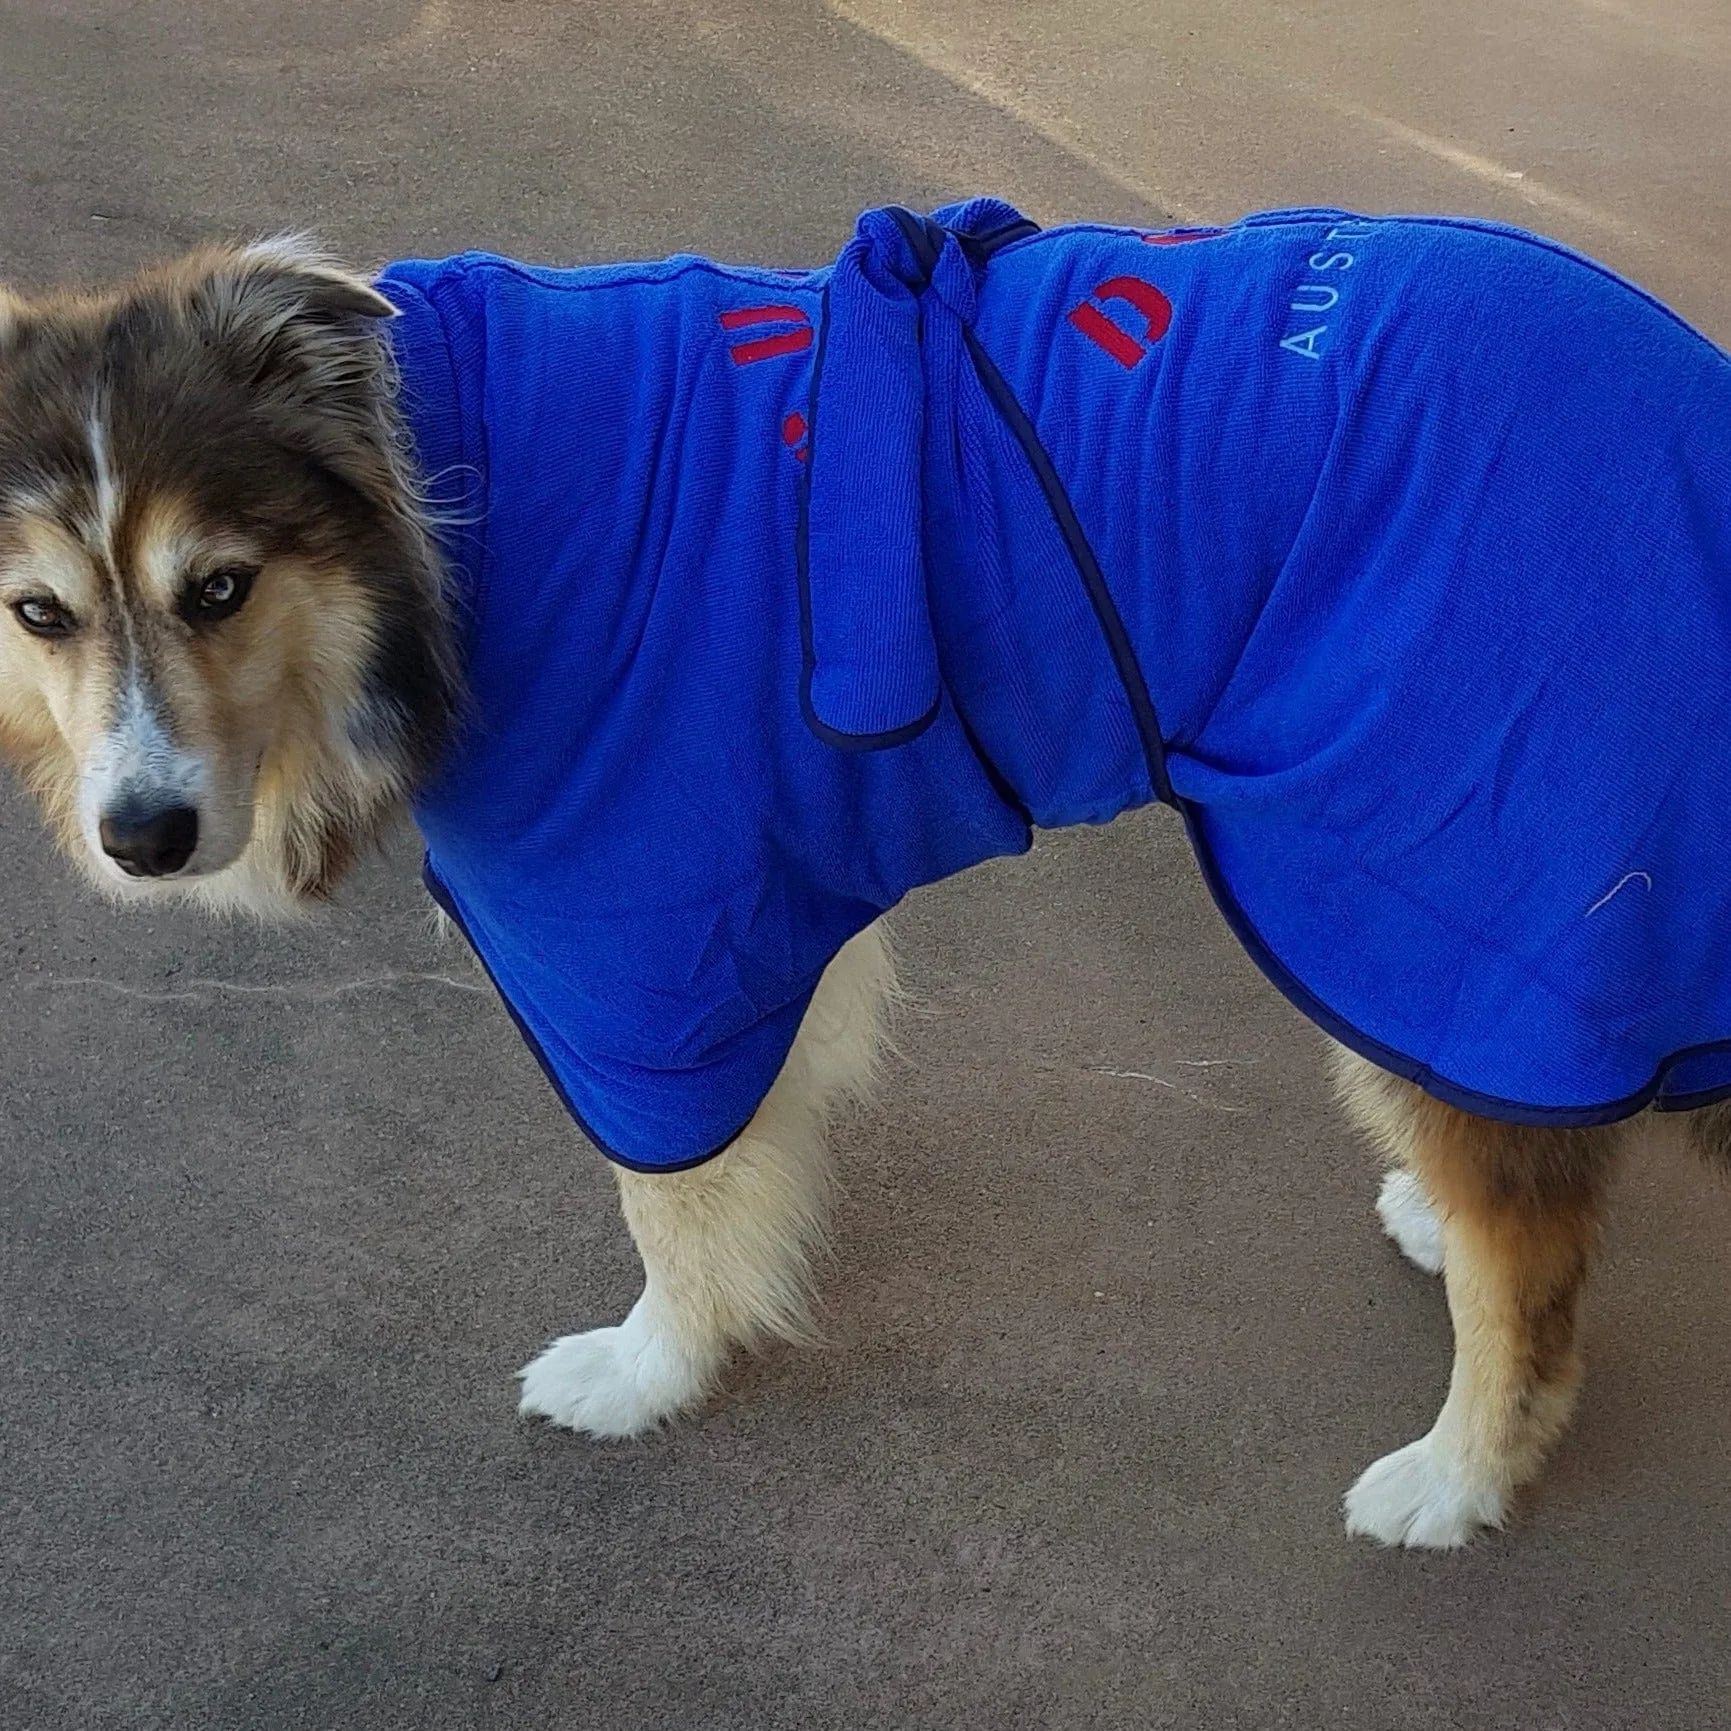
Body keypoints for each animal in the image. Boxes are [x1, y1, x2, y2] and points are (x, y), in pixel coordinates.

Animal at [3, 196, 1731, 1550]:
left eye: (218, 586)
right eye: (40, 612)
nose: (140, 836)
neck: (451, 500)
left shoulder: (636, 933)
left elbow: (668, 1200)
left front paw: (649, 1371)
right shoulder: (741, 913)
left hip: (1447, 892)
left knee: (1531, 1272)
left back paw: (1454, 1474)